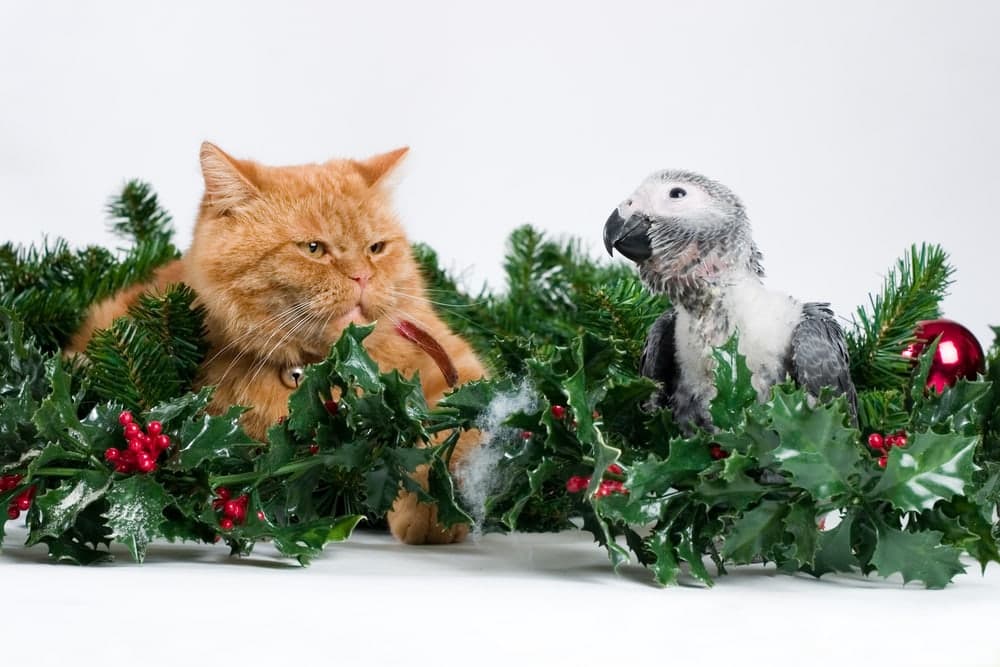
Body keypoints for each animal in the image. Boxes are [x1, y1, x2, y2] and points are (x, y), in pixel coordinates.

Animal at [64, 144, 486, 544]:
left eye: (376, 248)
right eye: (313, 249)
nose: (362, 276)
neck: (326, 367)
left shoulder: (456, 369)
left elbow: (452, 434)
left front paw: (432, 506)